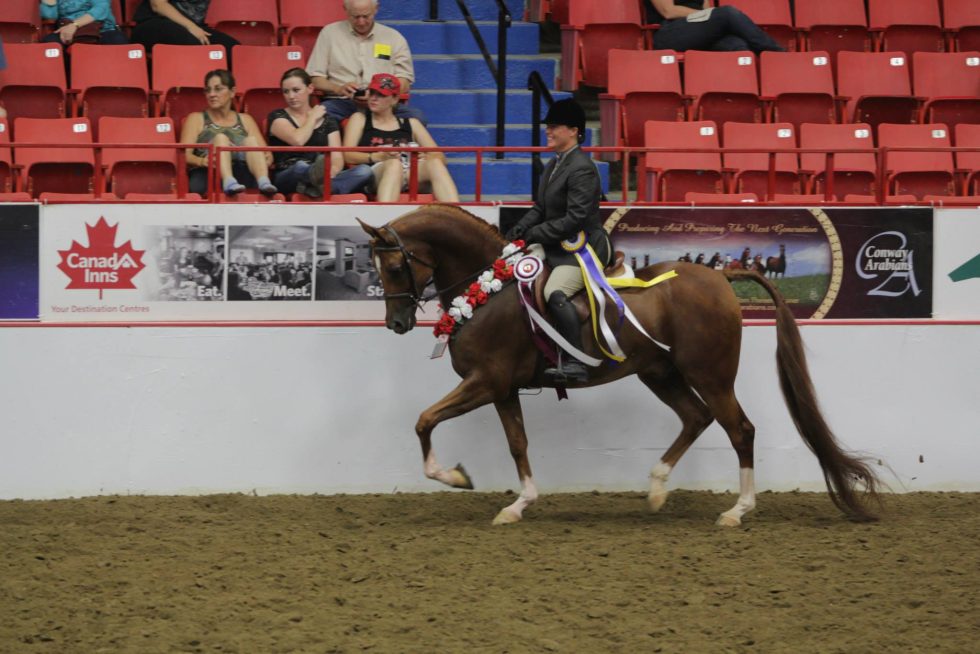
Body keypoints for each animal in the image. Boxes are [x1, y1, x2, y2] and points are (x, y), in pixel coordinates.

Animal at [358, 205, 881, 526]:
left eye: (396, 267)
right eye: (377, 269)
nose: (397, 323)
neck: (490, 288)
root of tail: (721, 277)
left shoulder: (485, 382)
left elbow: (424, 420)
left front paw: (453, 477)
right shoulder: (502, 389)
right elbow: (516, 443)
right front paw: (519, 505)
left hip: (710, 375)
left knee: (740, 429)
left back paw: (737, 510)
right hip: (659, 373)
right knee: (696, 418)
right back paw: (656, 488)